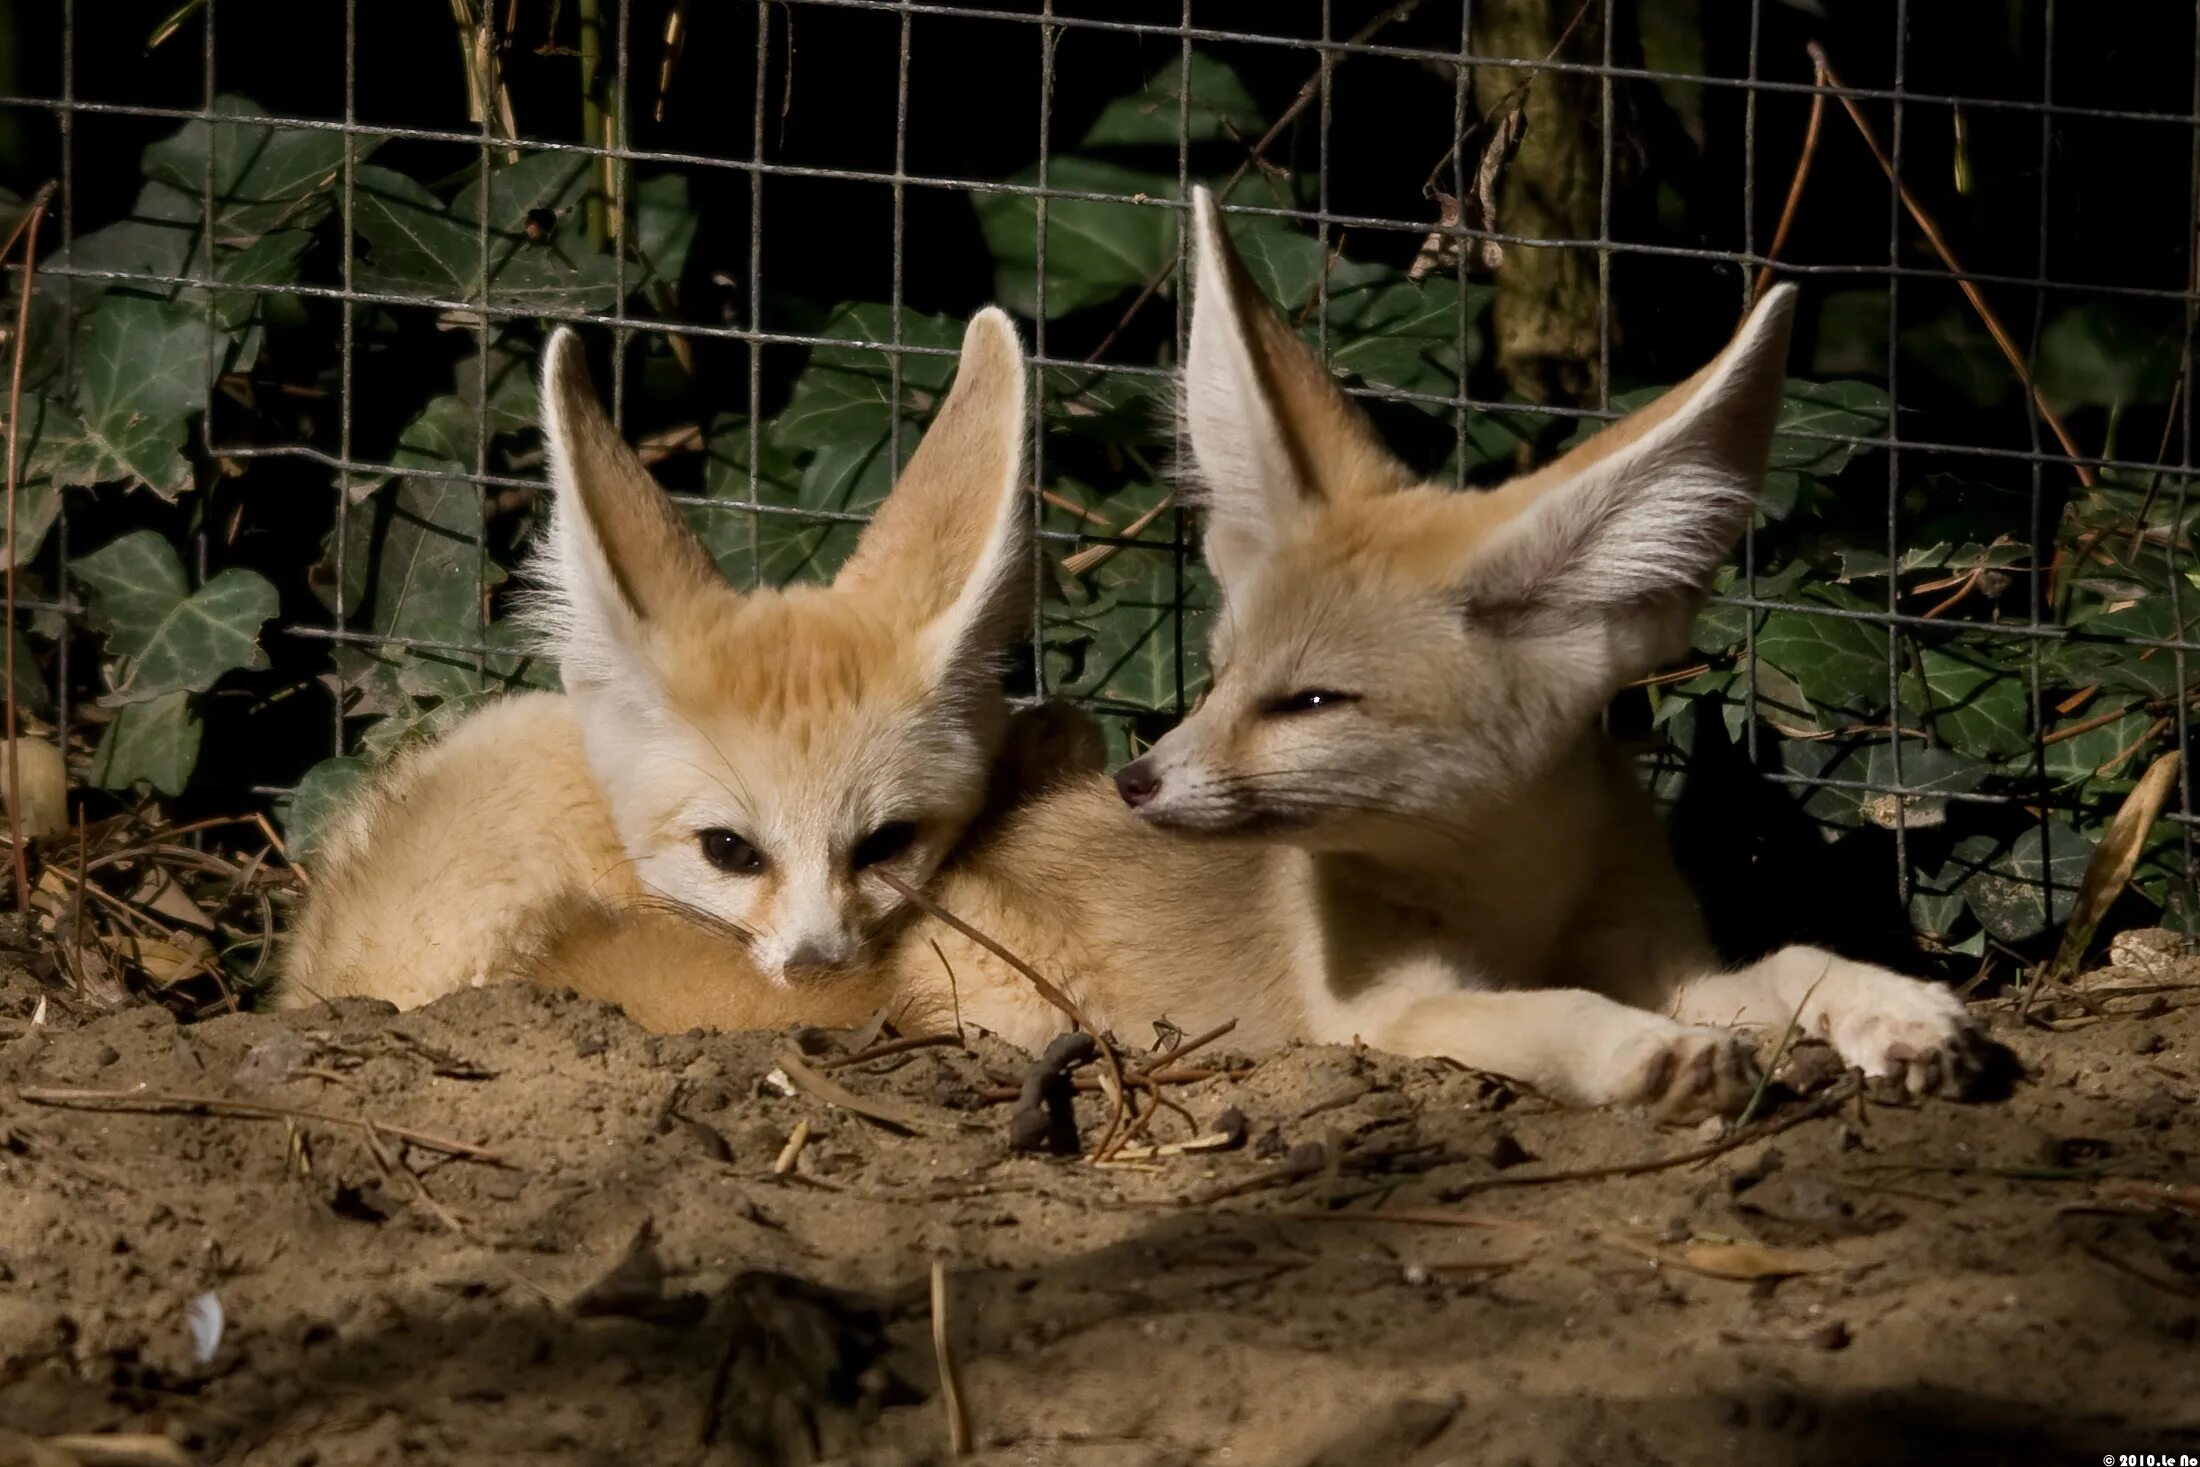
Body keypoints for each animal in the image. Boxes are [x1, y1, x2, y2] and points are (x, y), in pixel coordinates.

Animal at [536, 186, 1997, 1126]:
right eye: (1222, 673)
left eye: (1307, 701)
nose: (1140, 780)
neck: (1508, 898)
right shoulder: (1380, 1015)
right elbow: (1544, 1016)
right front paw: (1650, 1055)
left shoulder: (1665, 948)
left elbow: (1791, 964)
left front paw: (1893, 1009)